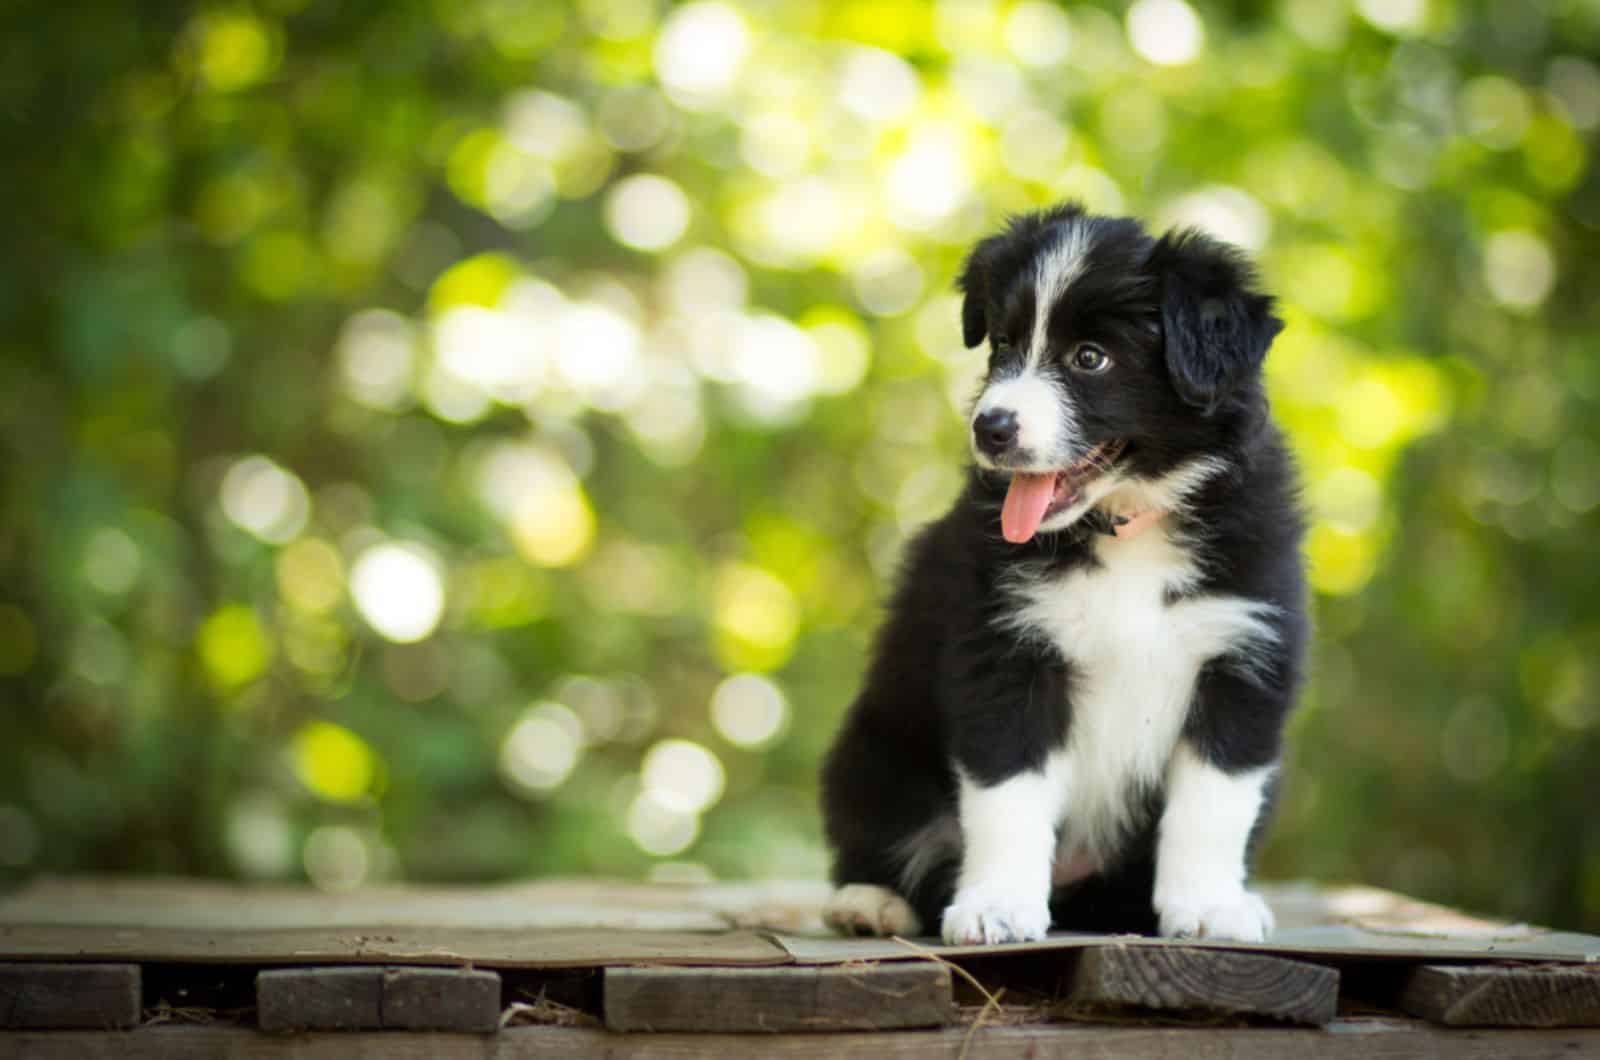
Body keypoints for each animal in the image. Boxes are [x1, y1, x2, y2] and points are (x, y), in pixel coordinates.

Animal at [819, 201, 1305, 947]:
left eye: (1090, 358)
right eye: (1003, 346)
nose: (991, 427)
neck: (1128, 527)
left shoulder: (1242, 659)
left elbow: (1213, 802)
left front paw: (1209, 906)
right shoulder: (1006, 653)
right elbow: (1008, 795)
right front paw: (996, 906)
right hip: (870, 753)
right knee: (894, 839)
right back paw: (870, 903)